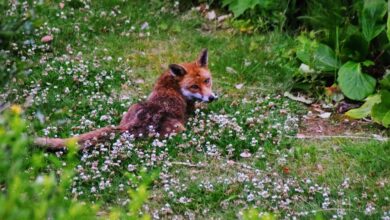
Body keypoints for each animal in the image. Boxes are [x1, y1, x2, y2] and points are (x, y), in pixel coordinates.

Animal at [34, 49, 216, 150]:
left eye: (207, 81)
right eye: (194, 86)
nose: (212, 97)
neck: (172, 84)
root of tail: (131, 127)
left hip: (132, 107)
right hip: (178, 129)